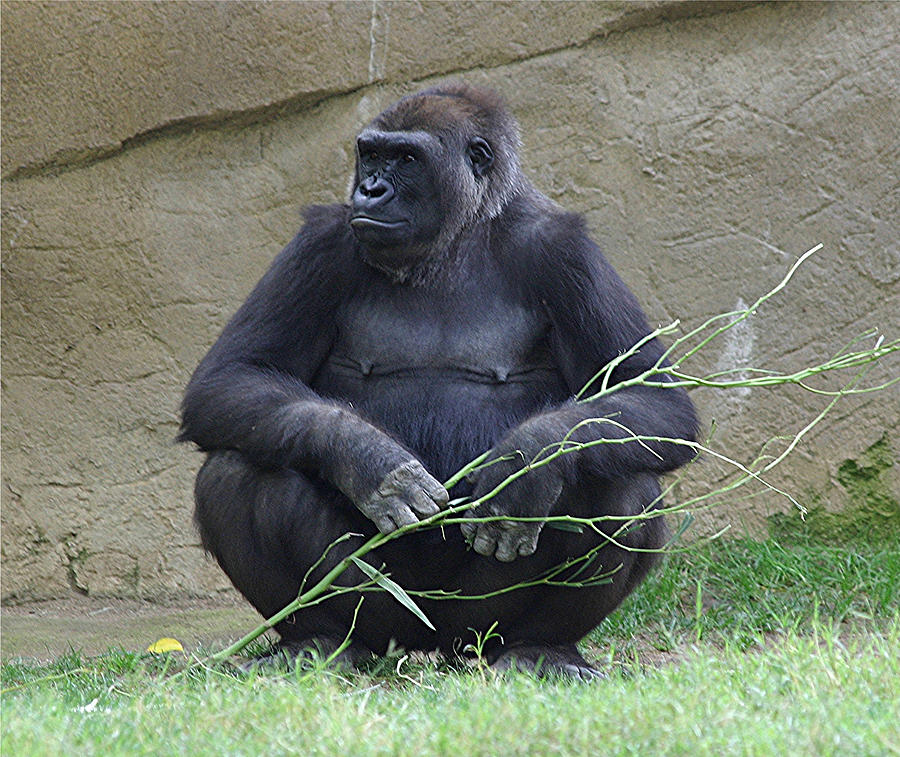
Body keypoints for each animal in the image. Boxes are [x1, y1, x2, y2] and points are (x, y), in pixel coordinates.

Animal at [179, 81, 700, 672]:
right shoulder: (321, 242)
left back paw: (539, 646)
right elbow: (231, 377)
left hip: (475, 626)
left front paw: (525, 462)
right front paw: (370, 461)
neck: (456, 237)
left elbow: (654, 399)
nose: (371, 189)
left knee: (620, 484)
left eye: (407, 159)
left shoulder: (567, 252)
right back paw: (317, 637)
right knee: (238, 471)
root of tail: (432, 646)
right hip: (386, 616)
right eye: (371, 154)